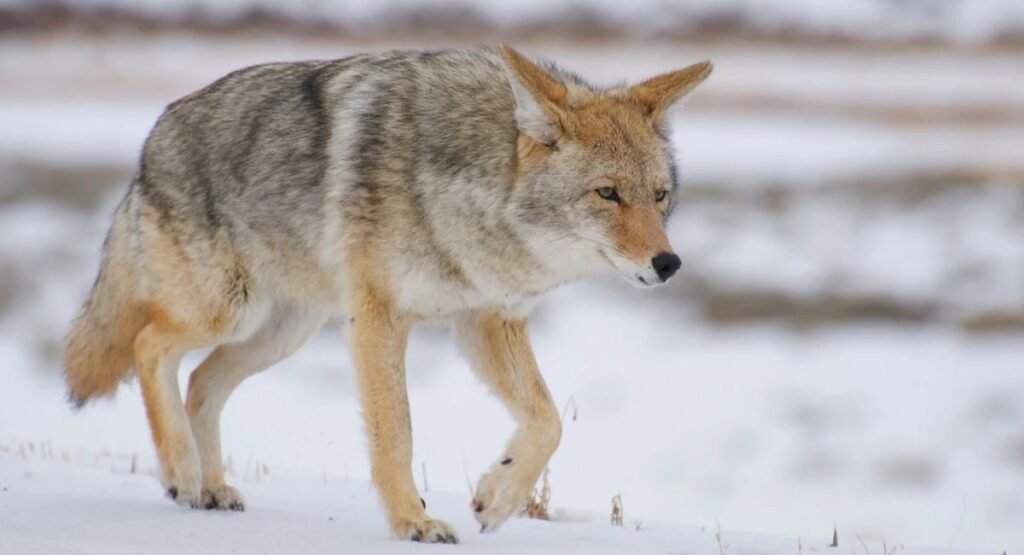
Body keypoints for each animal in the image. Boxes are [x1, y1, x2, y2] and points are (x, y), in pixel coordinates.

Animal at [63, 45, 711, 543]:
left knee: (200, 380)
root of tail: (151, 140)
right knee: (150, 347)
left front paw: (497, 496)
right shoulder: (380, 319)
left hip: (280, 336)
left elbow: (549, 421)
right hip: (226, 311)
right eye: (607, 194)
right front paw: (412, 523)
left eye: (659, 196)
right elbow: (396, 431)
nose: (669, 263)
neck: (472, 190)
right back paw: (181, 472)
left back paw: (211, 487)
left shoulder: (486, 319)